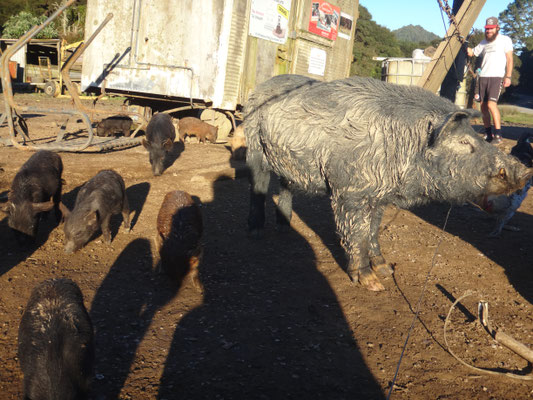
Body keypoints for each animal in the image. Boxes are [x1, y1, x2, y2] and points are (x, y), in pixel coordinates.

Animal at [243, 74, 528, 290]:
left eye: (474, 136)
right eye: (464, 142)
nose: (524, 171)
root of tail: (260, 86)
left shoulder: (379, 195)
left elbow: (373, 230)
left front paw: (385, 270)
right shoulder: (349, 192)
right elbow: (356, 232)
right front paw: (373, 284)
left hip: (287, 164)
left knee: (285, 186)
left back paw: (284, 227)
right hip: (254, 146)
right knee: (257, 186)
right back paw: (256, 232)